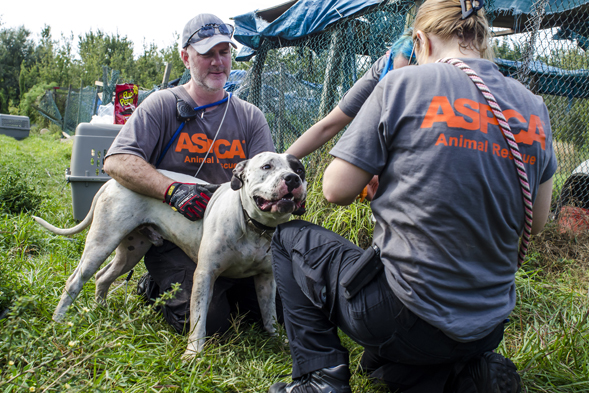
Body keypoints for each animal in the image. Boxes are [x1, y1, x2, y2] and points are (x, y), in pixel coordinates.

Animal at [34, 152, 306, 356]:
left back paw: (100, 308)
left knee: (103, 276)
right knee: (75, 281)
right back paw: (58, 321)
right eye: (267, 166)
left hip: (130, 252)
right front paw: (193, 354)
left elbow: (270, 314)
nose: (293, 179)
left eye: (299, 170)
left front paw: (278, 340)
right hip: (101, 243)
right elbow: (199, 319)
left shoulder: (266, 279)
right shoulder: (205, 275)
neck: (254, 226)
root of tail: (111, 182)